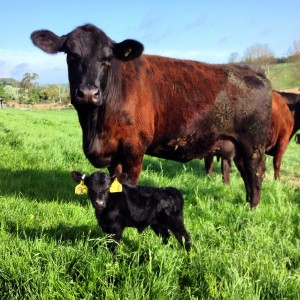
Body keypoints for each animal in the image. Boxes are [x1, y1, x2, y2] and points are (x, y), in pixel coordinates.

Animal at [31, 24, 272, 206]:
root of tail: (253, 71)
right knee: (246, 173)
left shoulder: (134, 149)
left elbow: (129, 184)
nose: (88, 93)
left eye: (107, 58)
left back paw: (253, 208)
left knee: (256, 173)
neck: (94, 126)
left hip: (253, 145)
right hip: (239, 146)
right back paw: (246, 203)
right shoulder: (114, 155)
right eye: (71, 55)